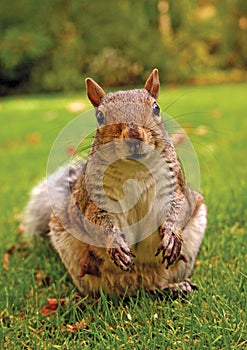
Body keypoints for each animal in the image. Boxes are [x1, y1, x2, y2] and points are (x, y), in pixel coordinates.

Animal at [23, 69, 206, 298]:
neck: (134, 170)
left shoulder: (173, 187)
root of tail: (138, 286)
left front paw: (172, 234)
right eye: (100, 116)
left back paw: (175, 286)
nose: (134, 135)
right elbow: (98, 222)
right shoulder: (96, 200)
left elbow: (180, 207)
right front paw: (115, 243)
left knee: (159, 283)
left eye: (156, 107)